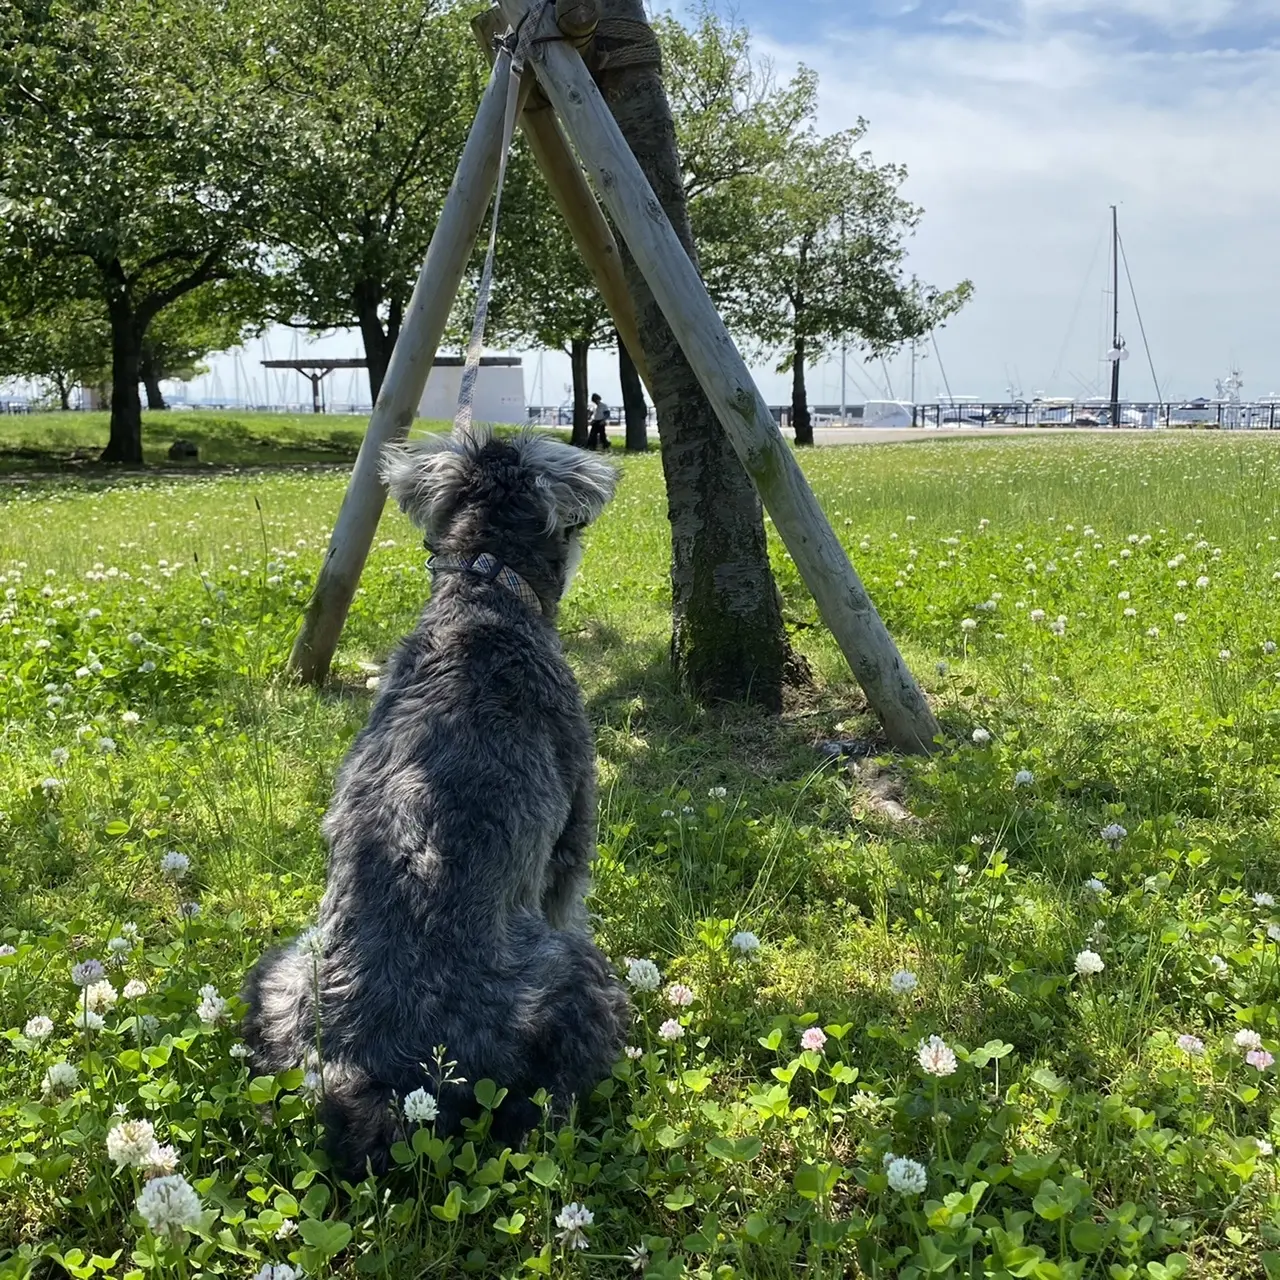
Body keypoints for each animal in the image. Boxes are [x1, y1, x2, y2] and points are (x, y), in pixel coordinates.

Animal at [240, 430, 629, 1177]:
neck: (485, 590)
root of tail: (375, 1080)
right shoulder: (573, 830)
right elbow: (570, 887)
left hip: (281, 974)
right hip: (570, 981)